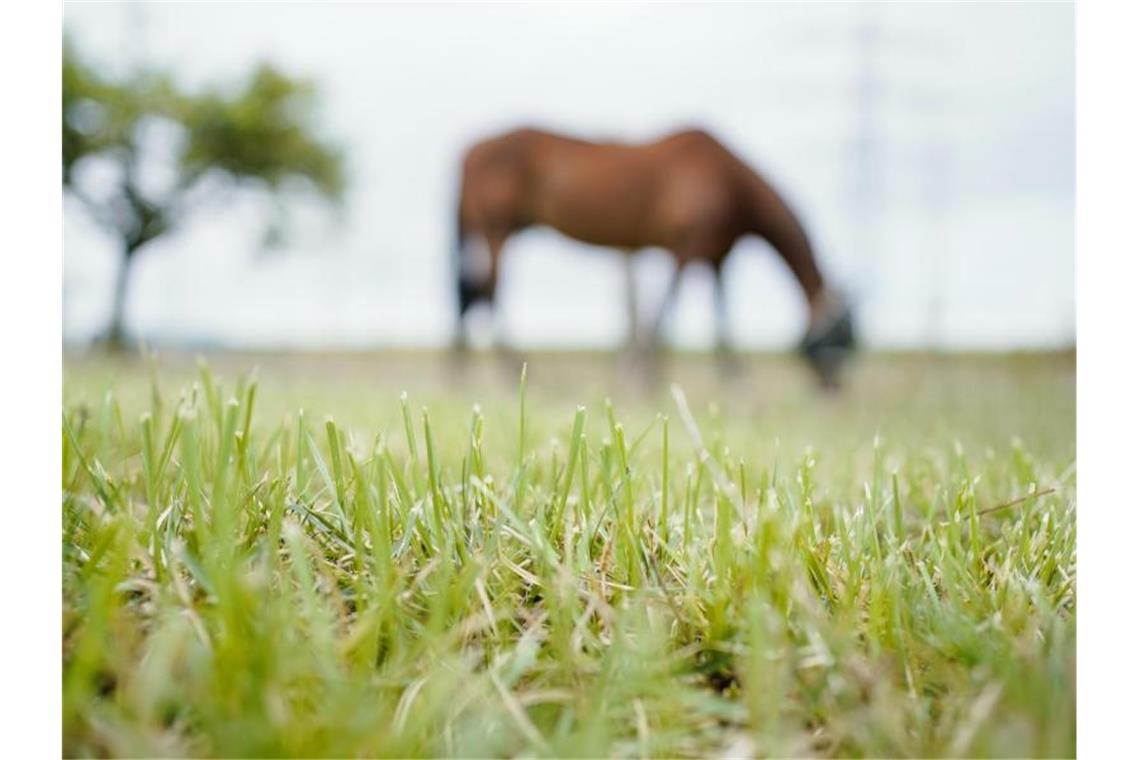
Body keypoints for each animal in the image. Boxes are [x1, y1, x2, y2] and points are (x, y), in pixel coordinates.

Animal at [453, 127, 857, 382]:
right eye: (842, 335)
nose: (834, 388)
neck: (731, 183)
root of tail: (471, 148)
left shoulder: (717, 256)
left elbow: (720, 319)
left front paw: (734, 382)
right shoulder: (686, 246)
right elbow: (663, 313)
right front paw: (643, 377)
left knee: (473, 293)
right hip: (496, 228)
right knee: (487, 290)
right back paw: (512, 373)